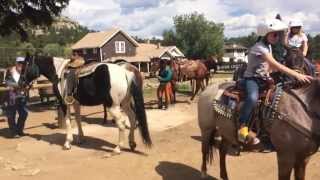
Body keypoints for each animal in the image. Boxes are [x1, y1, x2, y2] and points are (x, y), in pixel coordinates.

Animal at [199, 48, 318, 179]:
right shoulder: (285, 157)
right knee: (204, 150)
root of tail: (207, 89)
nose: (296, 80)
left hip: (226, 131)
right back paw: (203, 173)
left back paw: (225, 176)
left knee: (222, 151)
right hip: (206, 129)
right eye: (287, 60)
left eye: (303, 61)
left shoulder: (304, 158)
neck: (301, 110)